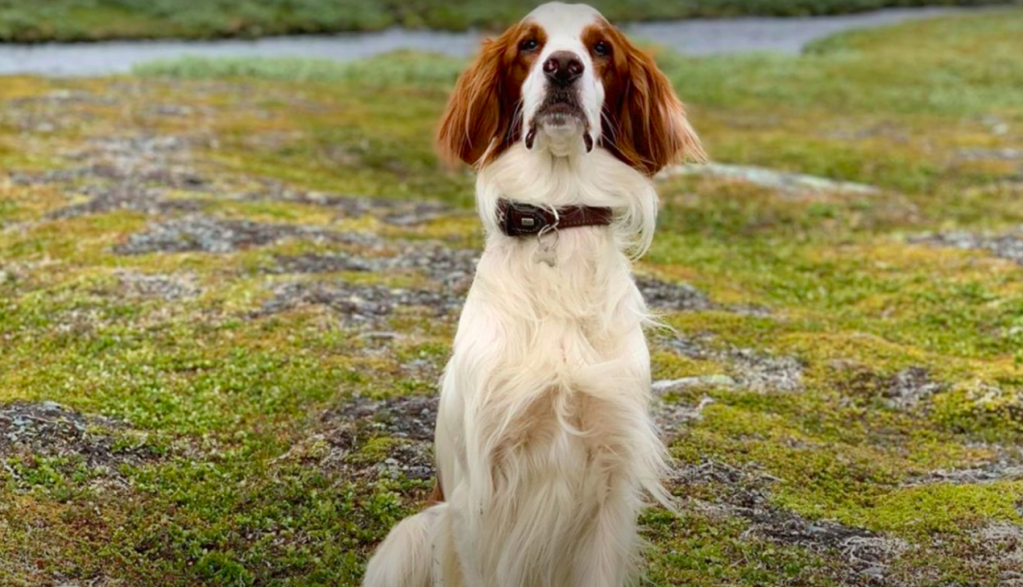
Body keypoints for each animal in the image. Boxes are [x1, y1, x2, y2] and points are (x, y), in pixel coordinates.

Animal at [360, 4, 703, 587]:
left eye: (601, 48)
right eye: (529, 44)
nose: (563, 66)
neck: (556, 218)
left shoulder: (612, 473)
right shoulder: (480, 490)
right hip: (414, 533)